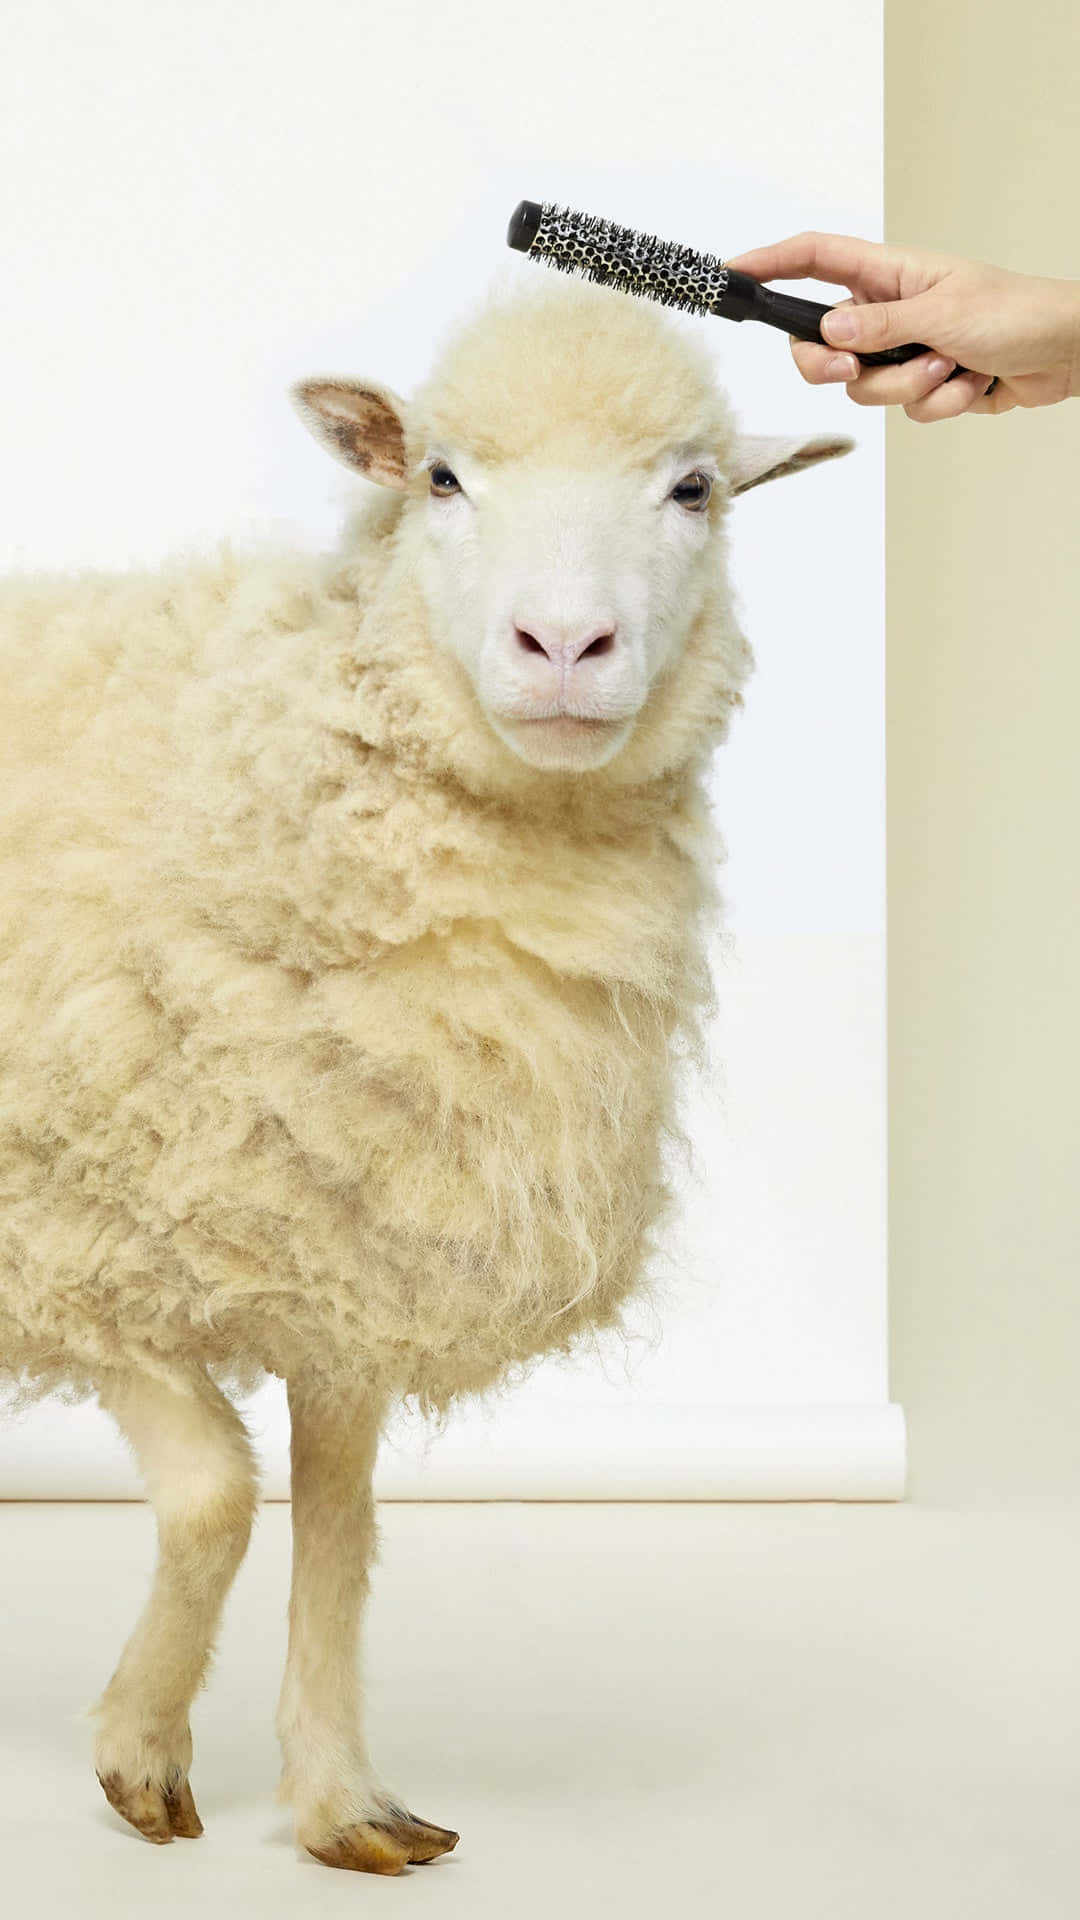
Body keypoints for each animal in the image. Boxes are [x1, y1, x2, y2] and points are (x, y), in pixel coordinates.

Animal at [0, 274, 852, 1873]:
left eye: (694, 489)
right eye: (442, 478)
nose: (565, 646)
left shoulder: (352, 1247)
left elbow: (338, 1533)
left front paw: (340, 1800)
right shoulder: (68, 1237)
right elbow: (217, 1494)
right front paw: (139, 1754)